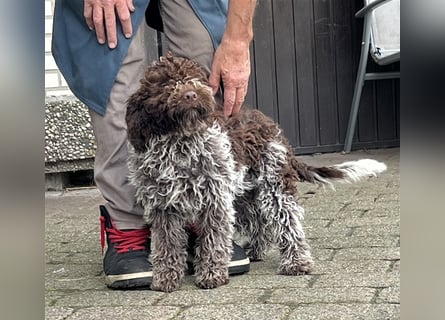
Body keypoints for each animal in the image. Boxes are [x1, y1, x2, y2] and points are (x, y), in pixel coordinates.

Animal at [124, 52, 386, 292]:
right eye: (165, 84)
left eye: (195, 79)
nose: (191, 95)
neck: (180, 143)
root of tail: (275, 129)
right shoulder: (163, 207)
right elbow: (166, 244)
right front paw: (165, 278)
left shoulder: (215, 201)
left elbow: (213, 240)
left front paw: (211, 274)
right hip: (242, 195)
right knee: (260, 223)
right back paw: (256, 250)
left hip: (275, 186)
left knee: (289, 223)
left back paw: (296, 262)